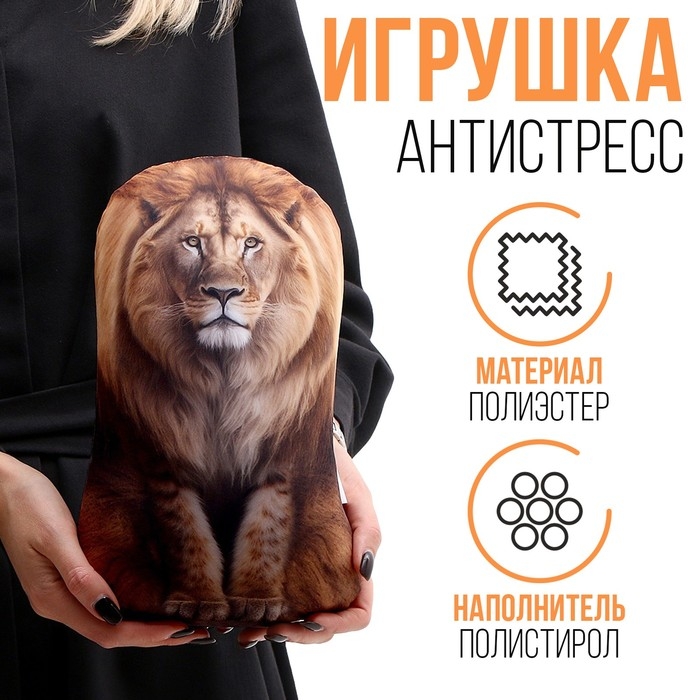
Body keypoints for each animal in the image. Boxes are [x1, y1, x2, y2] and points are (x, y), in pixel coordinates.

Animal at [77, 156, 360, 626]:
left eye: (251, 244)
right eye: (192, 242)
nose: (223, 292)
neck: (223, 378)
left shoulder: (279, 454)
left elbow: (268, 526)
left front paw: (257, 600)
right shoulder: (163, 458)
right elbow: (184, 531)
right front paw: (198, 603)